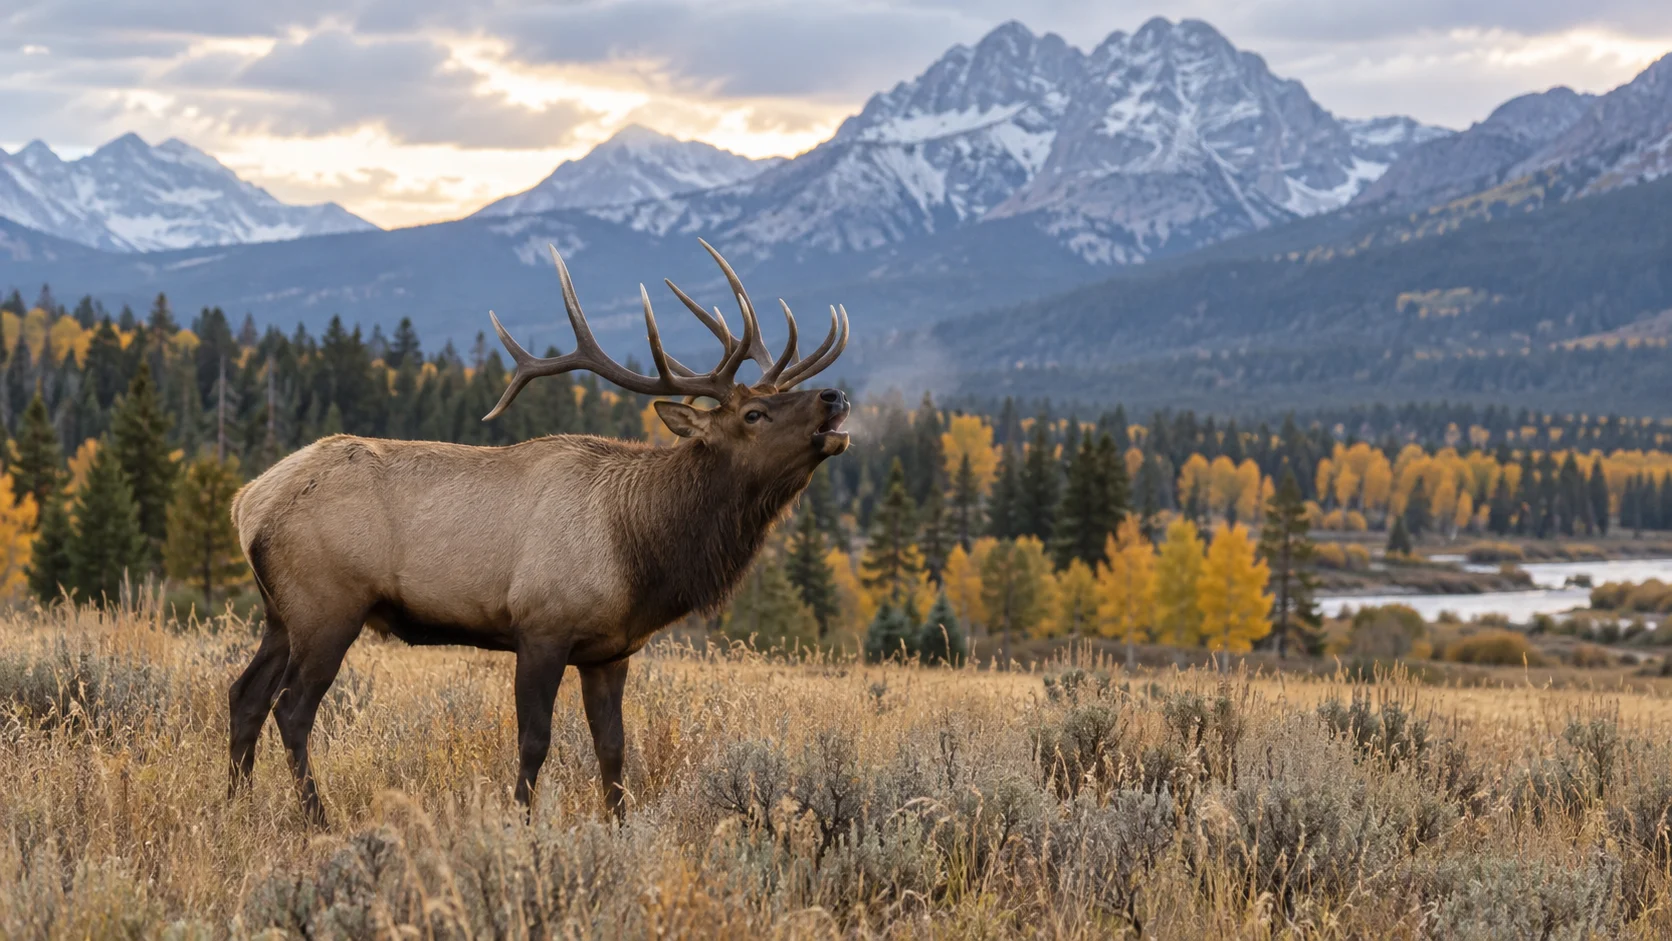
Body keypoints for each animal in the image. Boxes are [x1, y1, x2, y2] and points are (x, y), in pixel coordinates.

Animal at [227, 240, 850, 827]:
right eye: (753, 414)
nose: (834, 396)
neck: (639, 554)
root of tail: (246, 503)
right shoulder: (541, 627)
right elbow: (534, 743)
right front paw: (520, 824)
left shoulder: (610, 651)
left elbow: (613, 749)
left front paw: (619, 828)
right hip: (328, 606)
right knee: (291, 709)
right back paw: (316, 818)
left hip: (280, 612)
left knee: (244, 694)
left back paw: (236, 804)